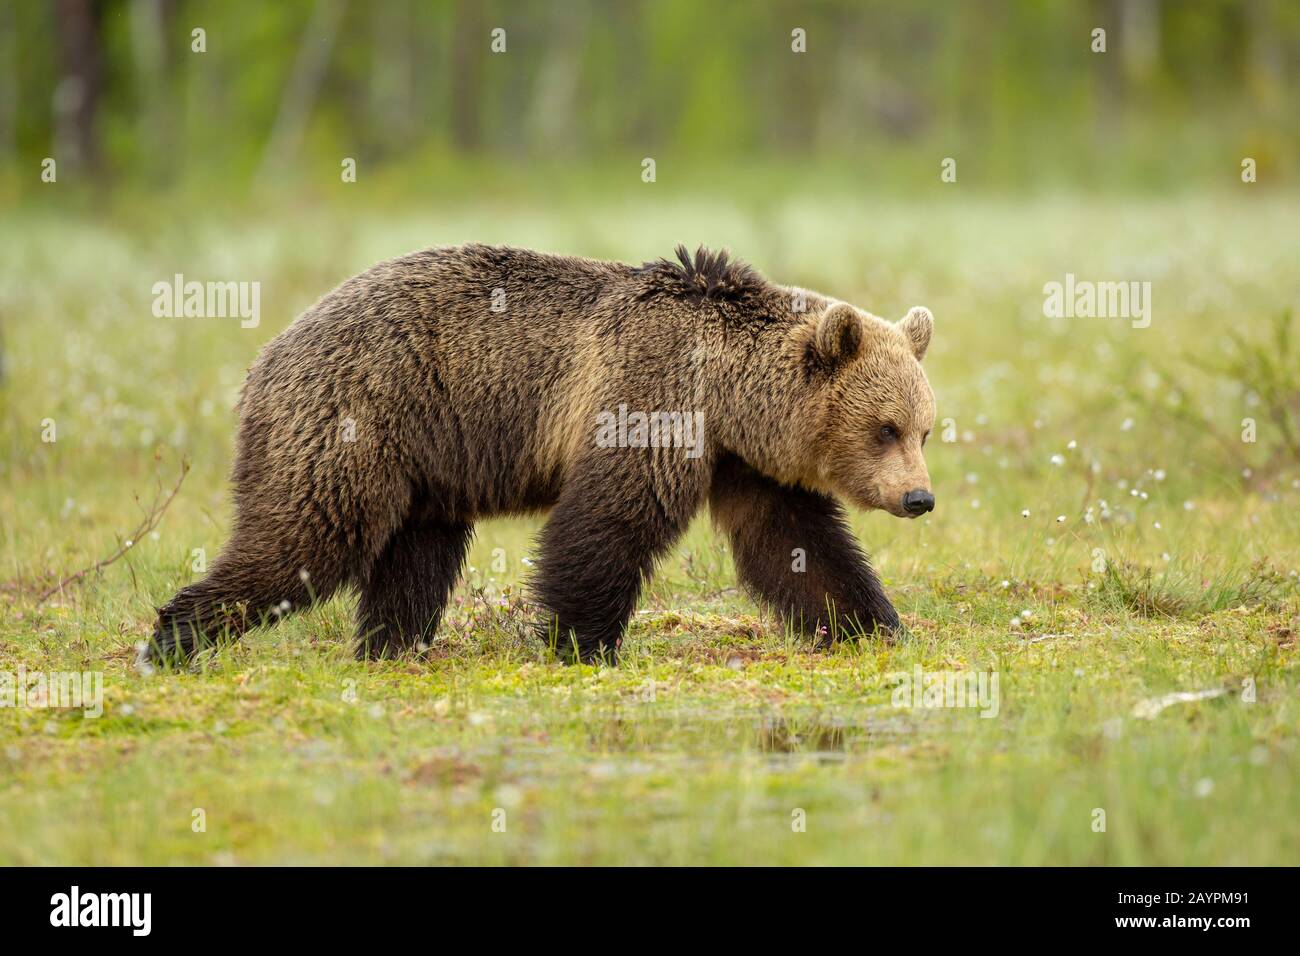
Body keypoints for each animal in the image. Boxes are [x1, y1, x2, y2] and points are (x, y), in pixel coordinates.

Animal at [147, 243, 936, 666]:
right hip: (355, 417)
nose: (919, 498)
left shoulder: (745, 463)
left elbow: (796, 545)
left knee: (413, 557)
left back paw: (391, 644)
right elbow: (608, 525)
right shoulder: (647, 403)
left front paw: (874, 626)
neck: (728, 393)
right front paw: (579, 641)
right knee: (307, 537)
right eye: (885, 428)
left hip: (426, 460)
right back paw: (176, 637)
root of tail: (265, 357)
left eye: (924, 429)